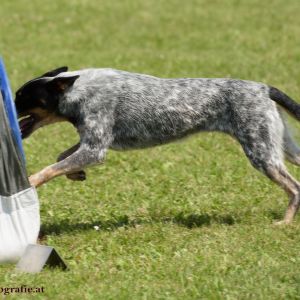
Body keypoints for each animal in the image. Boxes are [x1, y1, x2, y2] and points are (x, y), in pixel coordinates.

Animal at [15, 67, 300, 224]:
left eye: (21, 97)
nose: (6, 107)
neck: (77, 91)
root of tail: (263, 88)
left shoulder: (95, 149)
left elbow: (47, 170)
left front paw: (30, 183)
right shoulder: (91, 143)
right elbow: (60, 157)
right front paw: (76, 174)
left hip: (261, 153)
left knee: (295, 187)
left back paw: (284, 223)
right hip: (281, 148)